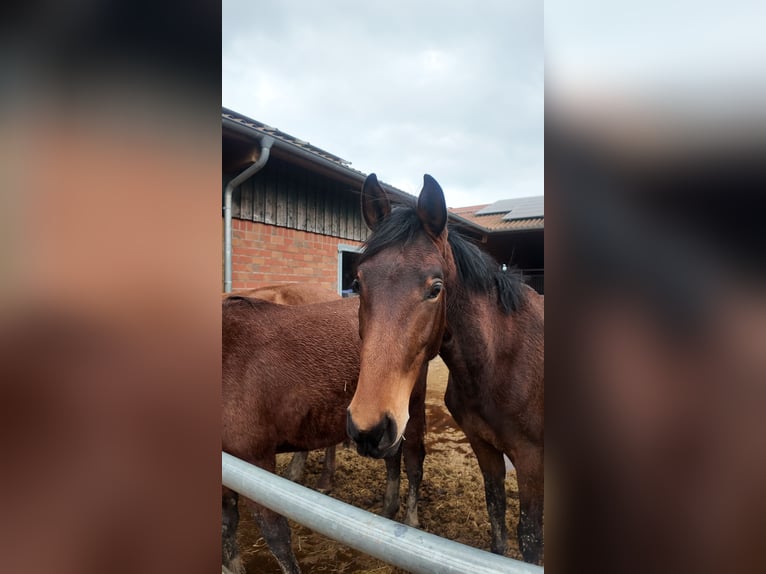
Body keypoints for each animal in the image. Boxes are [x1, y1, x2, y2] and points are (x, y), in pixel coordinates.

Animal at [348, 176, 544, 568]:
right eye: (359, 283)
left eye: (435, 289)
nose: (369, 427)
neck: (502, 360)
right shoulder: (484, 447)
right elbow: (496, 514)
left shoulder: (531, 460)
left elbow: (529, 538)